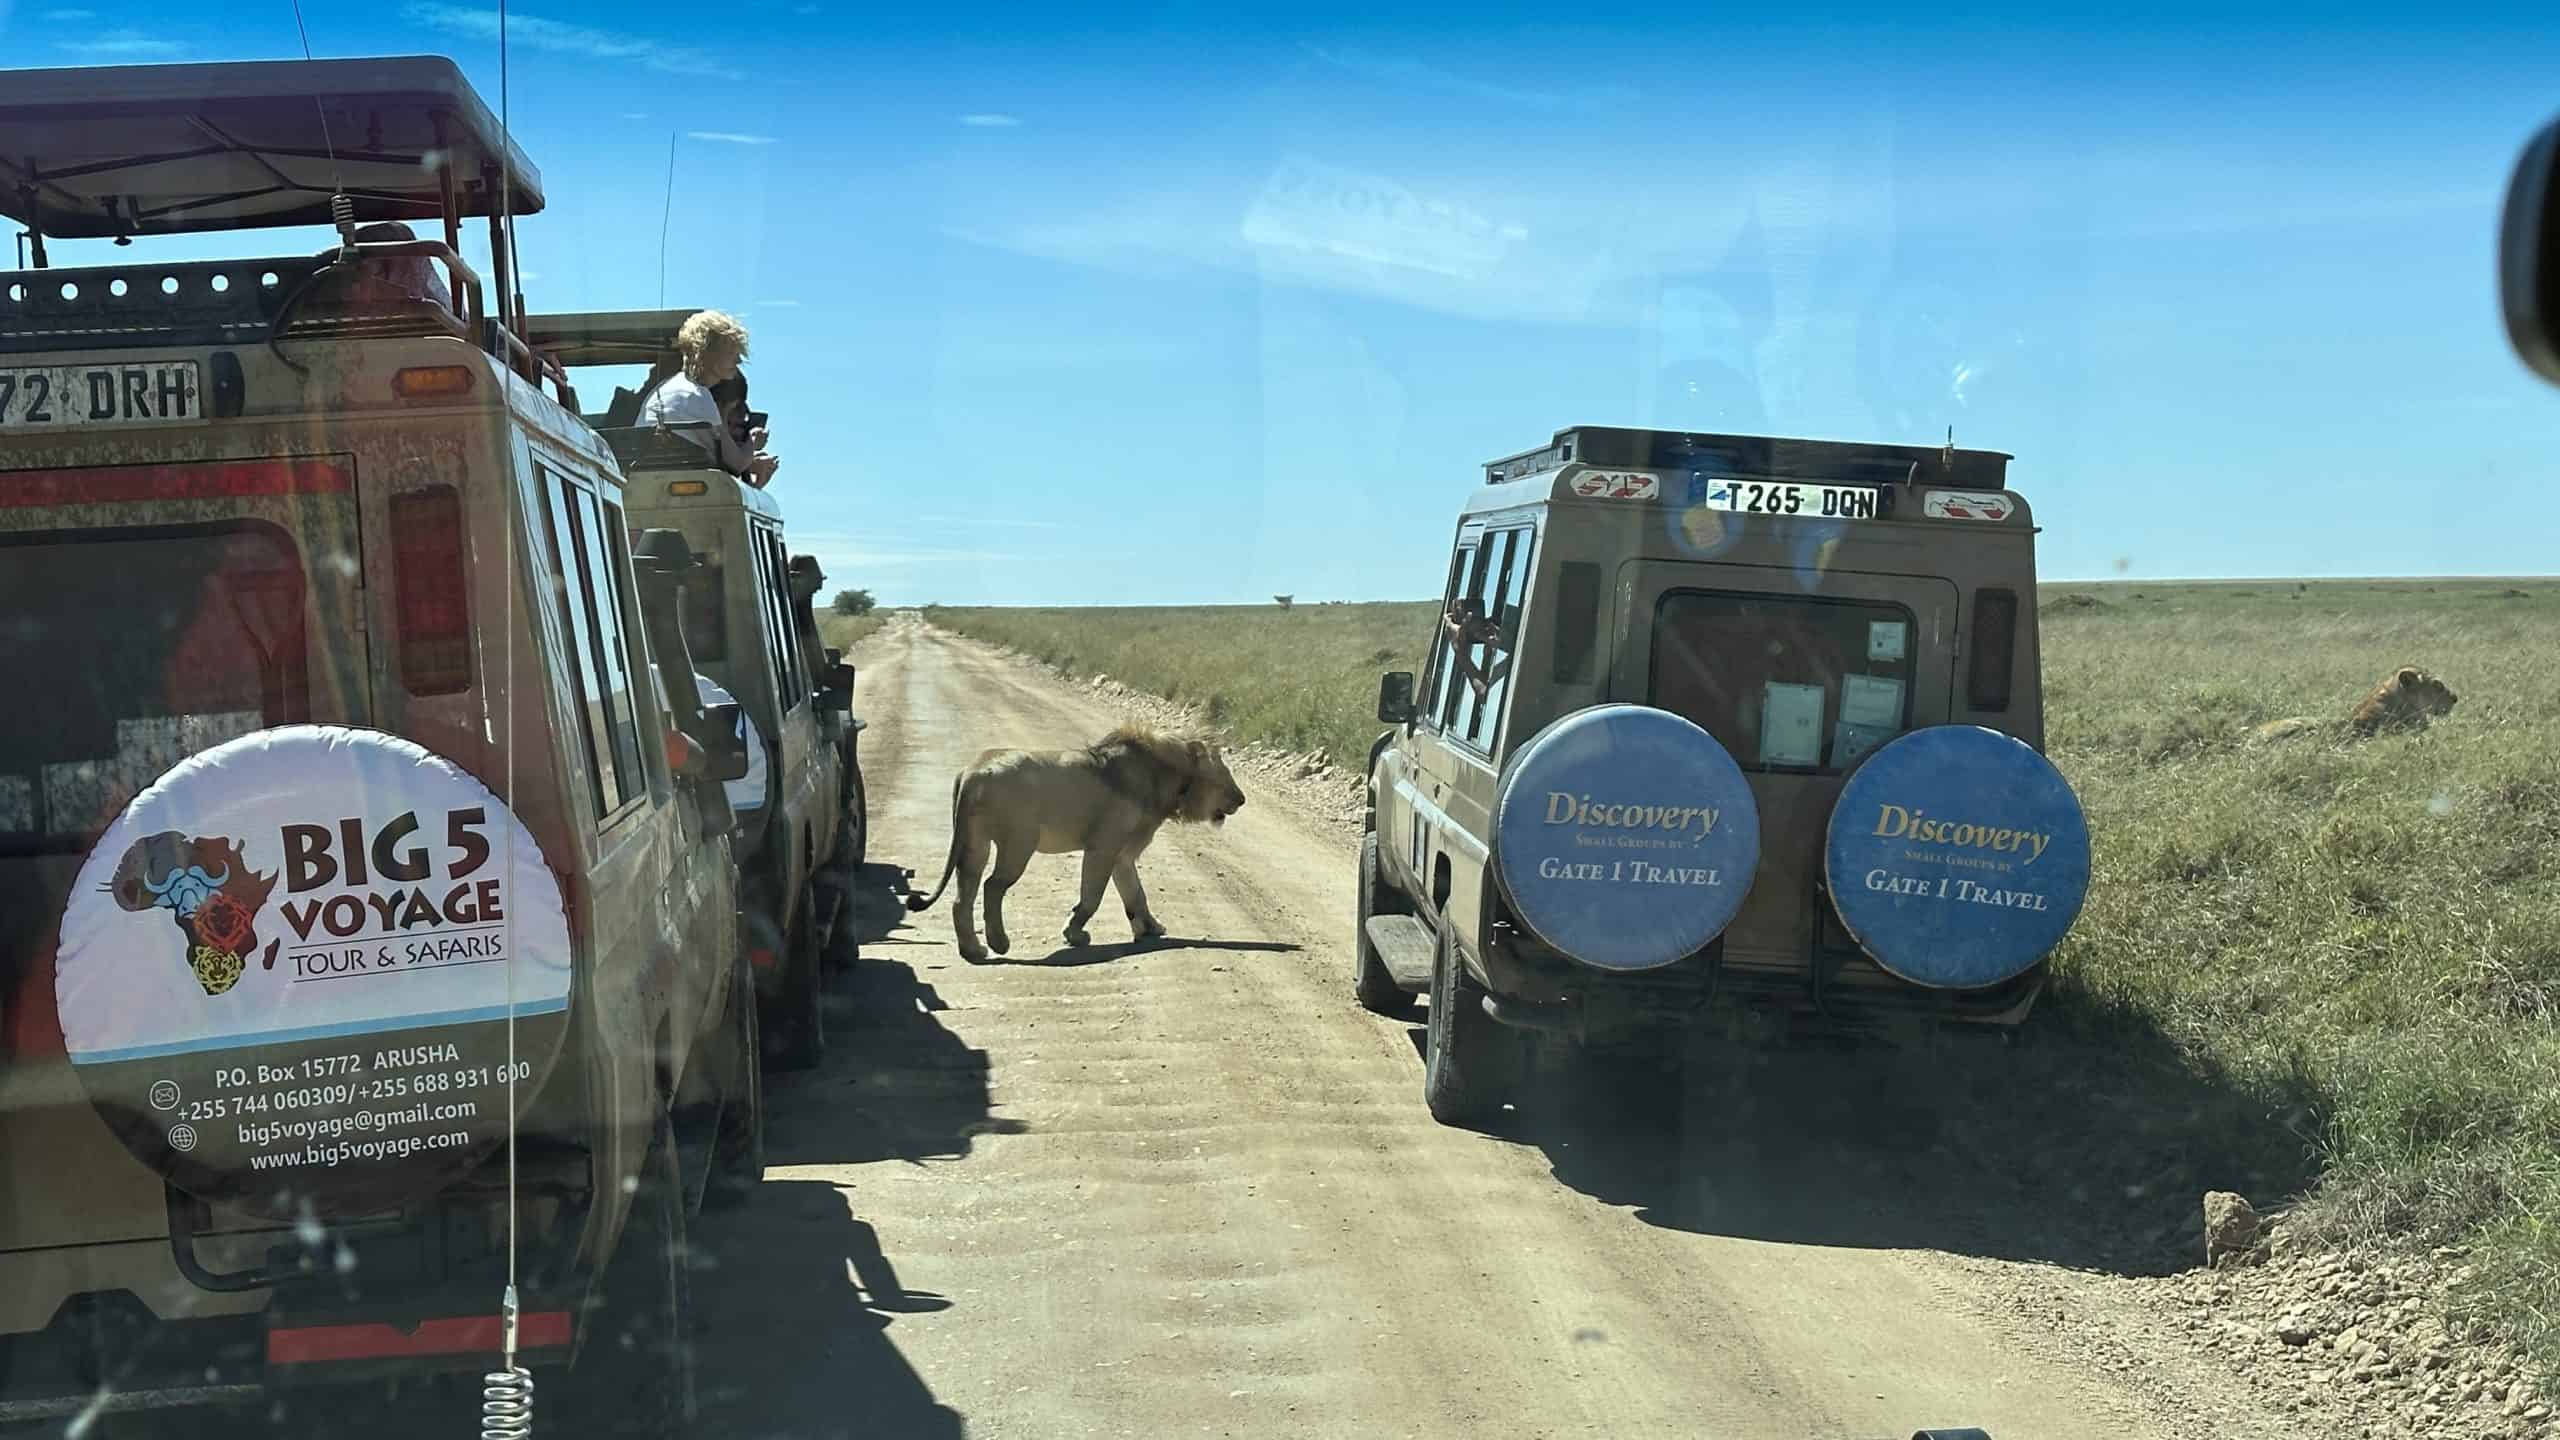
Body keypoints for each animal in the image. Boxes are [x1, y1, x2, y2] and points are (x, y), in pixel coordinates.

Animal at [904, 724, 1247, 962]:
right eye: (1224, 776)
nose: (1242, 799)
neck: (1164, 778)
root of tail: (971, 772)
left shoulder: (1122, 855)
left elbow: (1136, 895)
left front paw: (1150, 928)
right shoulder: (1103, 848)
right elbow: (1092, 897)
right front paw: (1075, 934)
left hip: (976, 842)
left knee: (963, 894)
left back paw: (973, 951)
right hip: (1019, 843)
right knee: (993, 886)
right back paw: (999, 943)